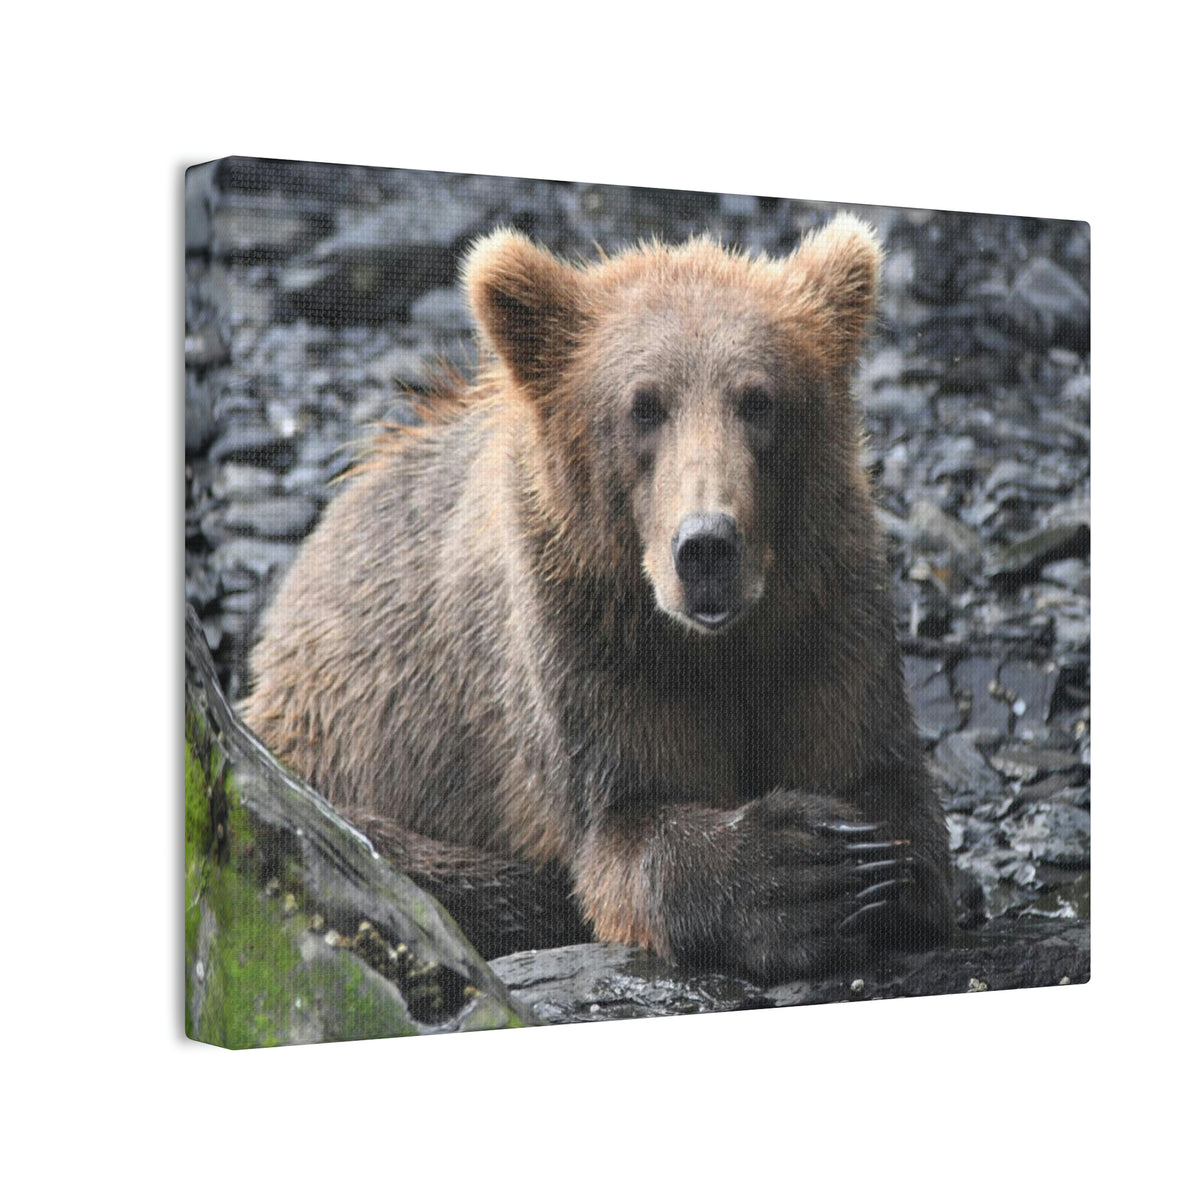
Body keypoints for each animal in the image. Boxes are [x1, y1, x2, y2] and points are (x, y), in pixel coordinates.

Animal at [242, 215, 955, 983]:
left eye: (759, 399)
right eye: (643, 406)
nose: (706, 547)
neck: (715, 643)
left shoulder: (826, 612)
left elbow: (880, 776)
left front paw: (873, 865)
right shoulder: (584, 639)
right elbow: (625, 824)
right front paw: (803, 871)